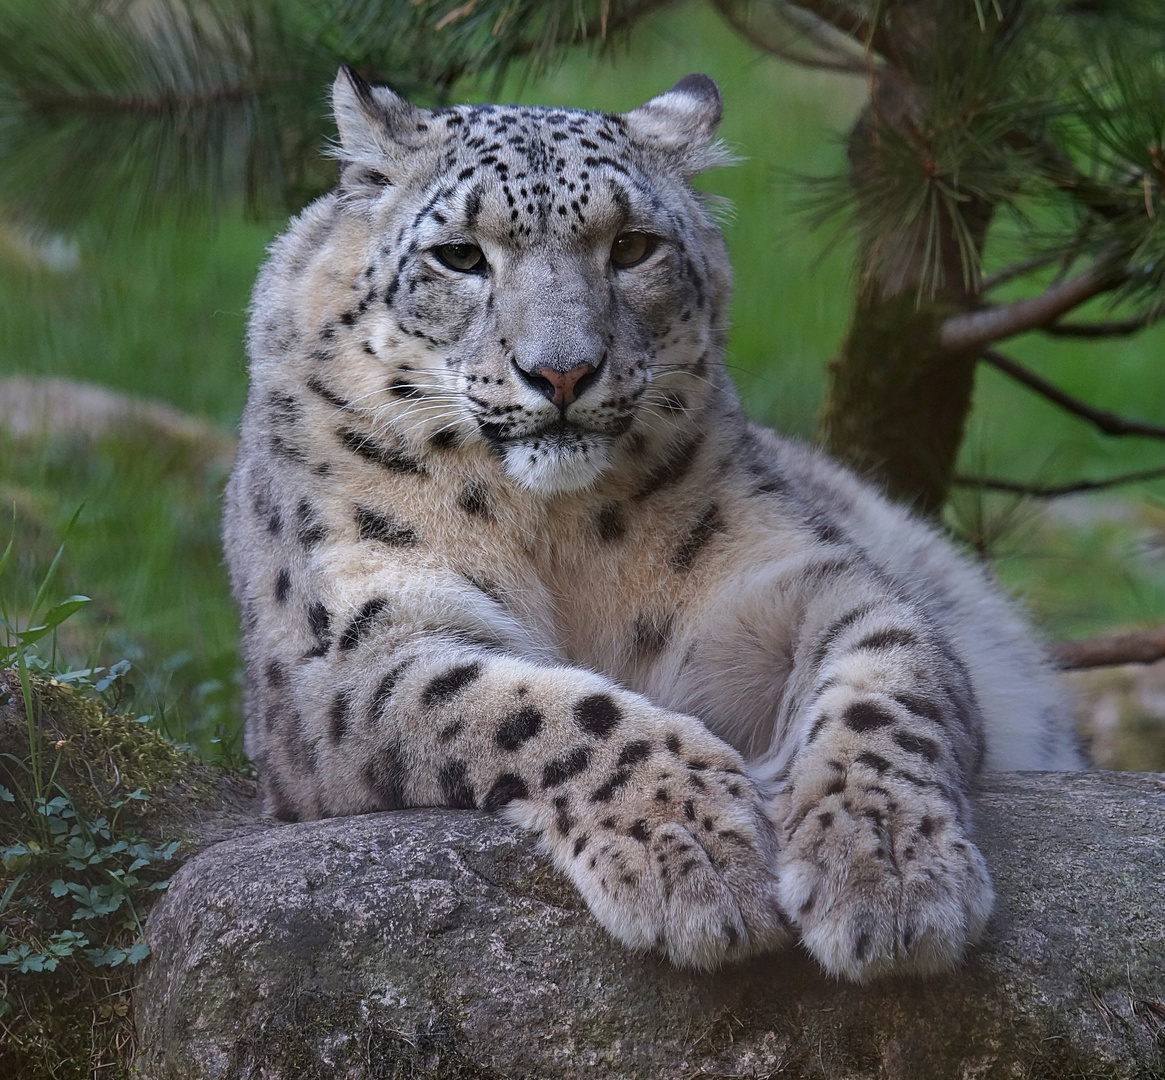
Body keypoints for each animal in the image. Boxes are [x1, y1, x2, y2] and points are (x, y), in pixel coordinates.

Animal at [222, 65, 1076, 978]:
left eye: (632, 247)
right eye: (459, 254)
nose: (561, 371)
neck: (551, 532)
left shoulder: (789, 574)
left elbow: (885, 681)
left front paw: (886, 866)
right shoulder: (348, 646)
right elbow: (536, 706)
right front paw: (695, 851)